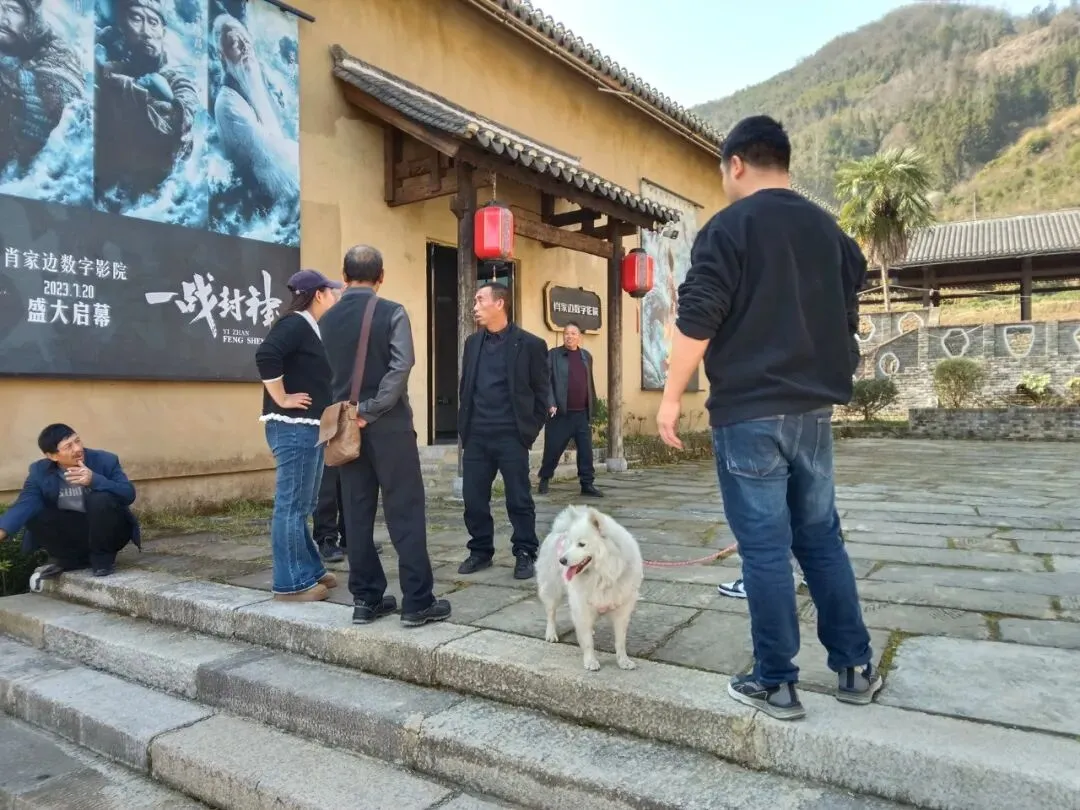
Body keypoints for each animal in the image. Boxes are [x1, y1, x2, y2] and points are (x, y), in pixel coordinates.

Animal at [536, 505, 644, 671]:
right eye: (570, 544)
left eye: (581, 544)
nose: (562, 560)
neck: (602, 575)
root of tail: (559, 529)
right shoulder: (582, 606)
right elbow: (587, 641)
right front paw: (590, 661)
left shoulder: (621, 611)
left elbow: (620, 641)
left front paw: (623, 661)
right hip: (552, 589)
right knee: (551, 613)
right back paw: (551, 634)